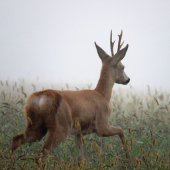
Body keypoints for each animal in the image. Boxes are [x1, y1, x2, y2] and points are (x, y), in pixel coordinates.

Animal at [11, 30, 131, 161]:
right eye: (123, 66)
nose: (128, 79)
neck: (102, 95)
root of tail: (41, 97)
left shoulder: (78, 132)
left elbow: (80, 158)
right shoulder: (102, 125)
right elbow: (121, 130)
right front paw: (127, 157)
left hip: (36, 124)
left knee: (16, 139)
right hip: (61, 127)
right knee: (42, 154)